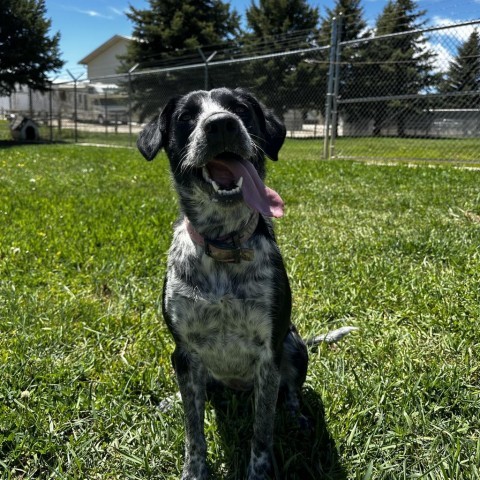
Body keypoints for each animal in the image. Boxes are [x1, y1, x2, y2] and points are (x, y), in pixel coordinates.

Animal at [138, 87, 312, 480]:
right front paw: (194, 471)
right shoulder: (184, 351)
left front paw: (259, 473)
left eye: (241, 109)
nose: (220, 124)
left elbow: (261, 432)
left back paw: (296, 416)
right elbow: (194, 430)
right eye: (186, 117)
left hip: (294, 343)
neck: (224, 247)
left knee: (293, 390)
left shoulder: (269, 356)